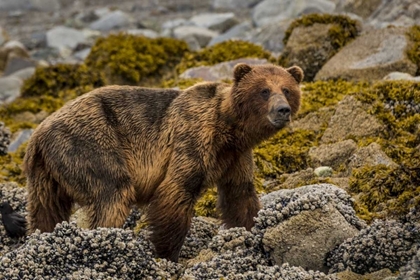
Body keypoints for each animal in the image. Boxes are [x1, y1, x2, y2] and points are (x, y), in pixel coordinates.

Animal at [23, 62, 304, 262]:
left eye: (287, 90)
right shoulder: (192, 139)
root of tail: (37, 135)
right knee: (112, 193)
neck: (228, 128)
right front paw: (166, 253)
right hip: (90, 144)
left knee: (46, 211)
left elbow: (240, 195)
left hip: (46, 175)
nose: (282, 110)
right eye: (264, 91)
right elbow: (176, 191)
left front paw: (252, 230)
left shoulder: (235, 157)